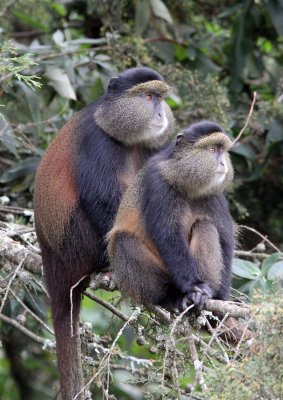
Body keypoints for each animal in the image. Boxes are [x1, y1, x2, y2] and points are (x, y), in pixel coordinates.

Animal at [33, 67, 175, 398]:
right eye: (148, 97)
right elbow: (100, 198)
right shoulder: (95, 141)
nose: (160, 112)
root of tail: (51, 262)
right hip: (75, 243)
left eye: (161, 98)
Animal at [108, 120, 235, 310]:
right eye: (212, 150)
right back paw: (170, 295)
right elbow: (168, 233)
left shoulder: (214, 196)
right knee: (124, 241)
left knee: (205, 225)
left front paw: (220, 297)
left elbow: (225, 240)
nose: (222, 163)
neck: (187, 184)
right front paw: (194, 285)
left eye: (222, 150)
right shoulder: (158, 181)